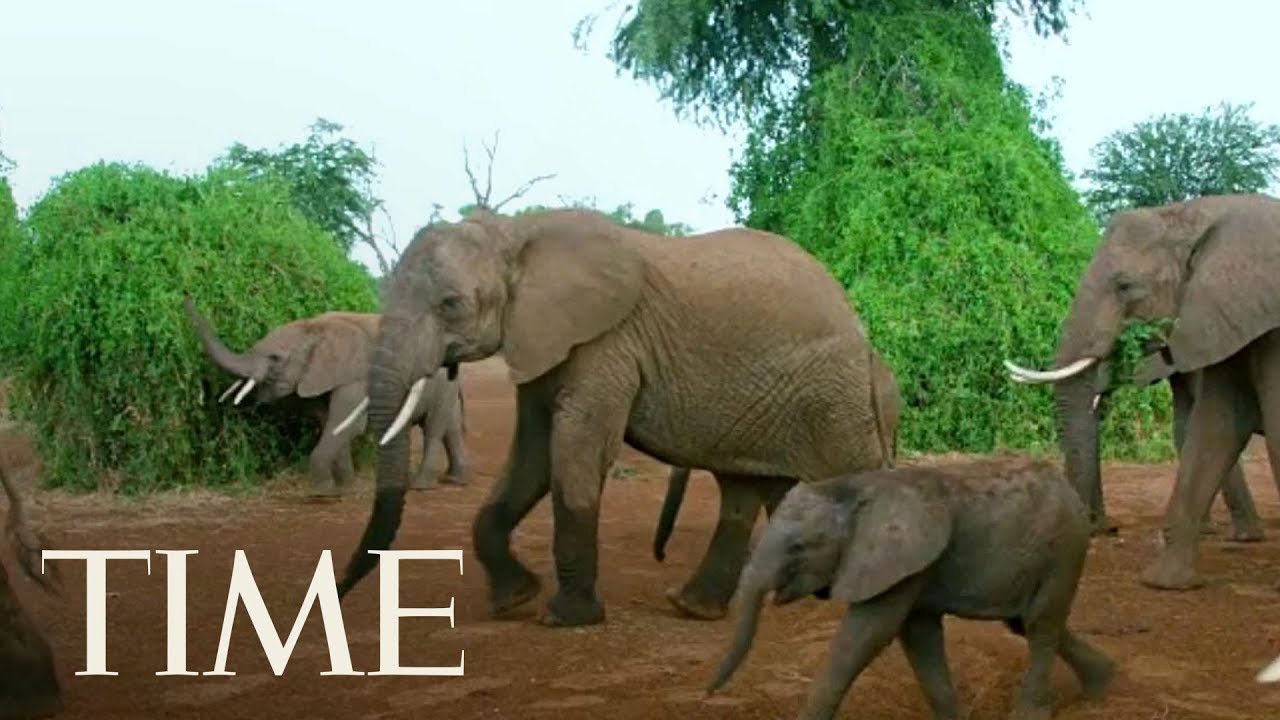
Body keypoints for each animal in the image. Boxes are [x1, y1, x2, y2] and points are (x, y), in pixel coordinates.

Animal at [182, 296, 471, 497]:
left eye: (275, 358)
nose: (185, 295)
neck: (313, 327)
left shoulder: (356, 375)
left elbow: (347, 424)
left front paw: (322, 493)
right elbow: (329, 421)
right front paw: (345, 487)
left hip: (442, 384)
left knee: (434, 429)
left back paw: (421, 486)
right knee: (450, 428)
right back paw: (455, 480)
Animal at [706, 455, 1115, 720]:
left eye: (799, 548)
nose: (707, 693)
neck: (853, 487)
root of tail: (1070, 490)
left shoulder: (898, 561)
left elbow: (868, 633)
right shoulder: (912, 567)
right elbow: (918, 637)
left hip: (1064, 546)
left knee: (1040, 625)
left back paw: (1034, 712)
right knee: (1025, 622)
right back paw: (1104, 686)